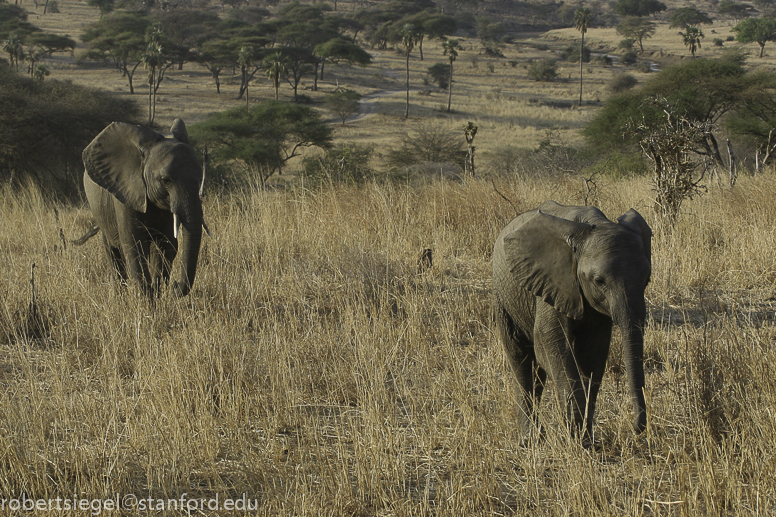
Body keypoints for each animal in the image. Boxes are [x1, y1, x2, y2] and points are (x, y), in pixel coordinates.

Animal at [77, 119, 205, 297]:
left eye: (200, 178)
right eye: (166, 180)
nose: (174, 286)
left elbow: (165, 244)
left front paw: (158, 296)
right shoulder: (126, 193)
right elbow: (135, 245)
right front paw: (147, 300)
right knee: (113, 252)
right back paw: (121, 296)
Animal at [492, 201, 652, 446]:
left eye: (647, 280)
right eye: (599, 281)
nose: (637, 428)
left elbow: (592, 356)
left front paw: (586, 439)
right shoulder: (552, 281)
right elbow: (551, 345)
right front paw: (577, 440)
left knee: (536, 374)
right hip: (504, 298)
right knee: (521, 361)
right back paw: (530, 440)